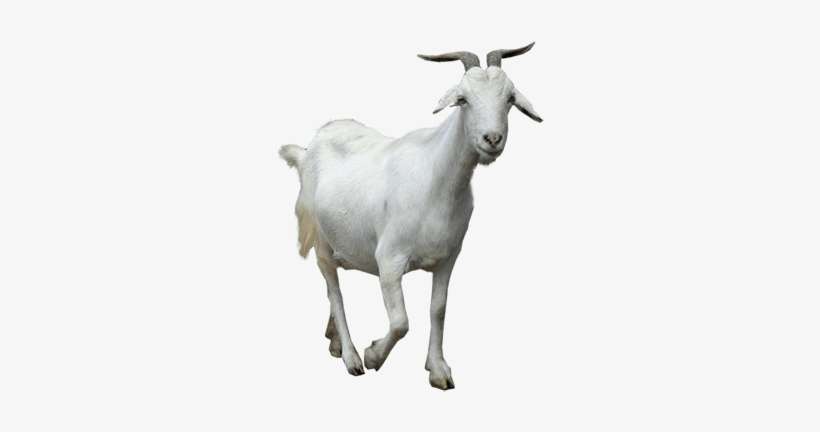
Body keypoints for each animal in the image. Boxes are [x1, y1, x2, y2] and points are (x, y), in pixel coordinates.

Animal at [279, 43, 542, 390]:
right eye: (462, 99)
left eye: (510, 98)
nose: (492, 139)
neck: (436, 178)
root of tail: (307, 151)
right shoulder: (389, 260)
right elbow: (401, 322)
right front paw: (373, 355)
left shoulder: (447, 258)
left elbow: (438, 309)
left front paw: (438, 370)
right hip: (322, 241)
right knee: (335, 291)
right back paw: (351, 357)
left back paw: (334, 341)